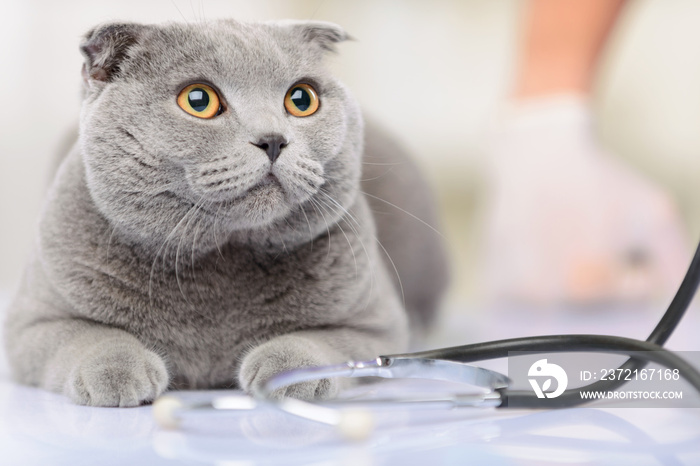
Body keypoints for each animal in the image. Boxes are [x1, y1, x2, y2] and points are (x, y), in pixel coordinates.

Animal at [1, 19, 448, 404]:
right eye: (198, 100)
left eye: (302, 99)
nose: (273, 140)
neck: (218, 261)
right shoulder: (32, 321)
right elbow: (86, 337)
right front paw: (116, 373)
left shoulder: (377, 324)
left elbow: (324, 340)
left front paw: (287, 370)